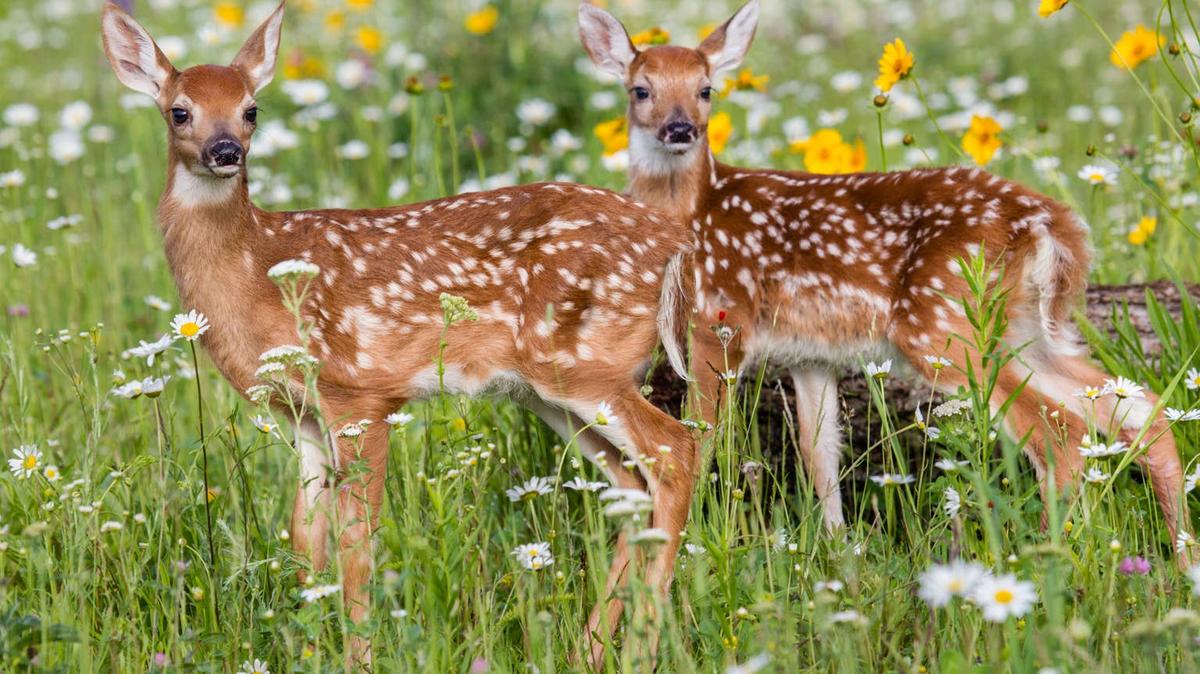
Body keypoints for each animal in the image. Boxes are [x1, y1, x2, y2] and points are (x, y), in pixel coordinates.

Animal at [102, 2, 700, 664]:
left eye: (251, 108)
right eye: (179, 110)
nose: (226, 149)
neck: (258, 271)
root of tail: (675, 242)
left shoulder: (361, 396)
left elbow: (357, 549)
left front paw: (358, 658)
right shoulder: (303, 417)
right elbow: (305, 542)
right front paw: (311, 648)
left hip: (587, 365)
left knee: (677, 452)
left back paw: (641, 652)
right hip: (550, 392)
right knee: (634, 486)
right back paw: (588, 654)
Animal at [579, 0, 1191, 555]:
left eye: (707, 89)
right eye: (641, 90)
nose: (679, 128)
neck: (693, 214)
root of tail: (1050, 222)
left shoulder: (719, 321)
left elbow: (702, 438)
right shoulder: (809, 354)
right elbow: (819, 455)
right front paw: (837, 553)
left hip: (944, 327)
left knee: (1061, 432)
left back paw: (1046, 558)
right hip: (1027, 330)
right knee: (1143, 411)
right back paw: (1181, 557)